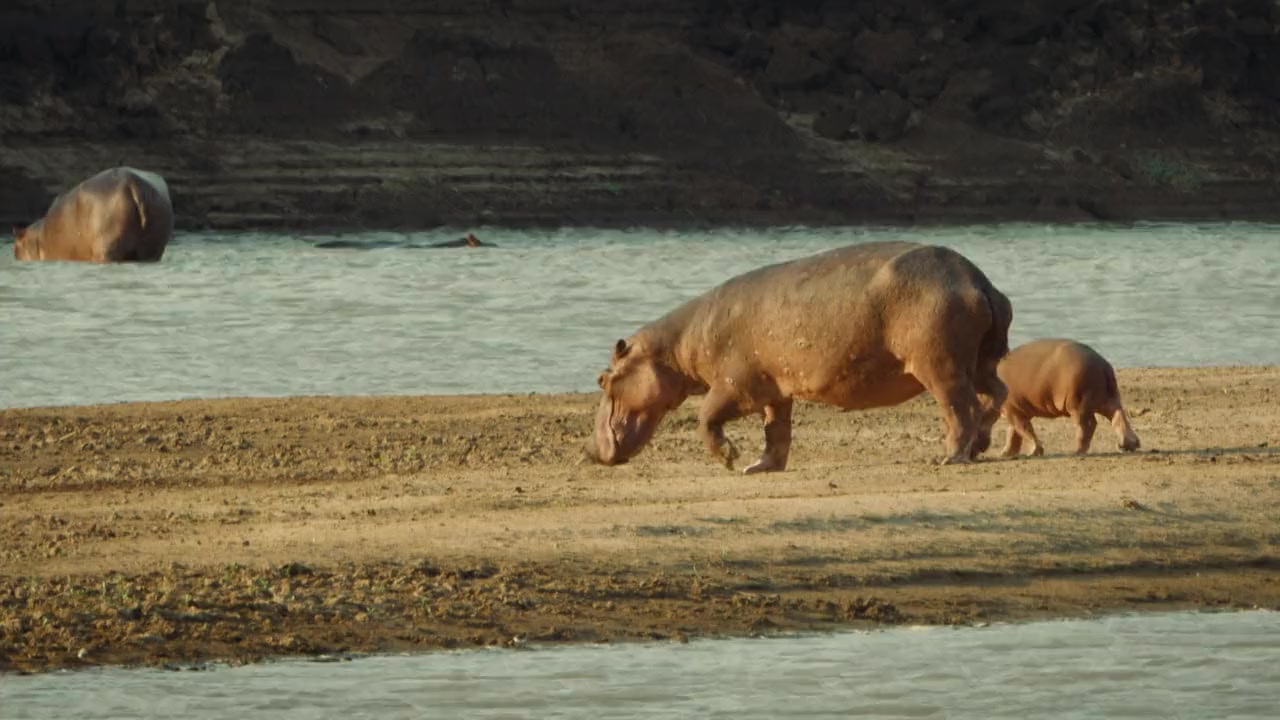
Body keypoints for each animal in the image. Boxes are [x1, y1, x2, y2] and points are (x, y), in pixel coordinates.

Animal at [586, 241, 1013, 472]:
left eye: (603, 379)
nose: (590, 450)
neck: (675, 347)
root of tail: (977, 281)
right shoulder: (773, 388)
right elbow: (776, 429)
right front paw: (758, 467)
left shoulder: (734, 384)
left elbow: (706, 417)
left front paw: (730, 459)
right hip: (981, 361)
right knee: (996, 393)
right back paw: (981, 445)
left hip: (939, 366)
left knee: (959, 408)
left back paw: (952, 457)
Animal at [996, 338, 1141, 456]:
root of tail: (1104, 364)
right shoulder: (1014, 411)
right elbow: (1013, 434)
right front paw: (1005, 454)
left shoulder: (1013, 410)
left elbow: (1024, 430)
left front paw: (1033, 452)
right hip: (1109, 399)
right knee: (1119, 416)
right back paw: (1128, 446)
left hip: (1078, 405)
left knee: (1087, 425)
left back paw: (1076, 451)